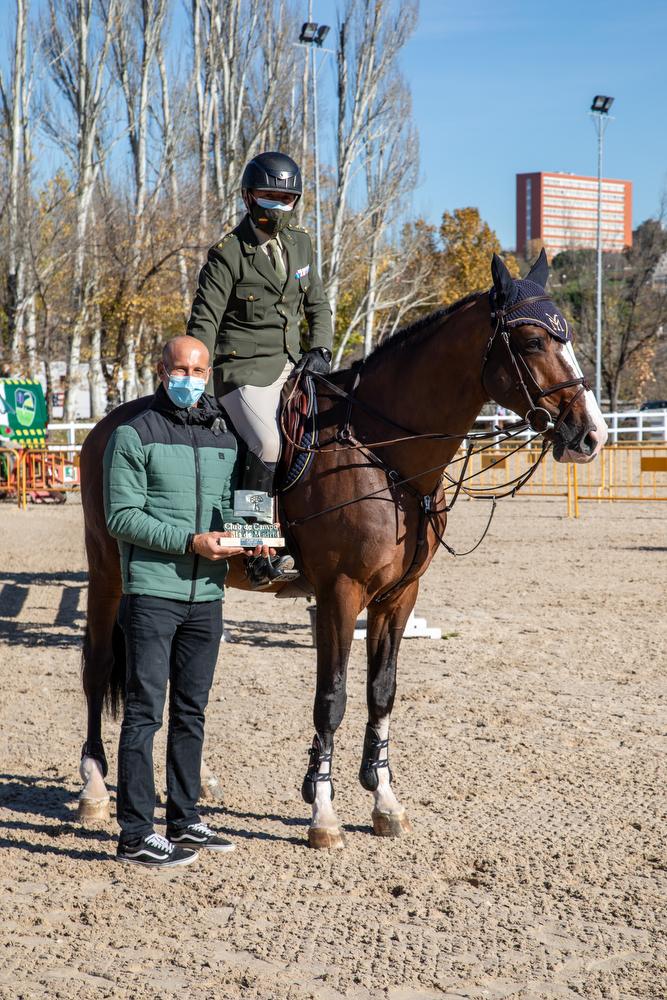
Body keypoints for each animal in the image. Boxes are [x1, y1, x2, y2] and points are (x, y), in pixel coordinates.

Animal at [77, 250, 604, 844]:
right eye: (534, 341)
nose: (591, 435)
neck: (382, 451)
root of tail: (108, 424)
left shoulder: (398, 597)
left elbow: (381, 690)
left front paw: (383, 798)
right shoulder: (339, 594)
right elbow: (332, 698)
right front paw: (323, 810)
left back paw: (200, 779)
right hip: (107, 572)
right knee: (98, 664)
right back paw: (93, 789)